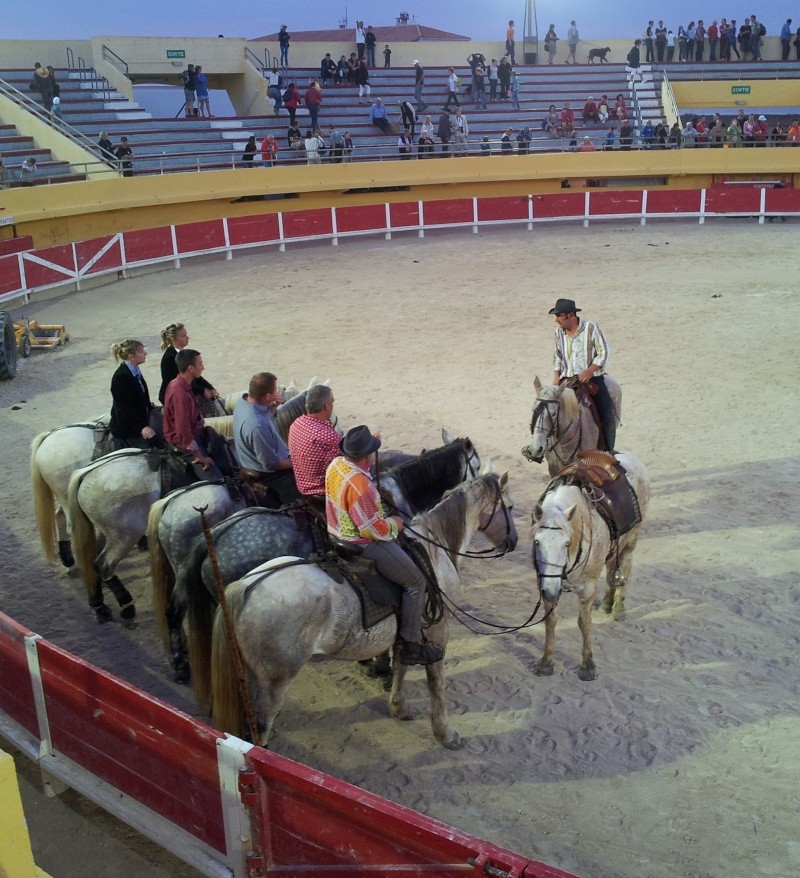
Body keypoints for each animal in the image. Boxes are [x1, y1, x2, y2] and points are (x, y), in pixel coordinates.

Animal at [209, 470, 516, 752]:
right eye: (510, 507)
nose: (513, 541)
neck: (433, 551)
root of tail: (247, 585)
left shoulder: (408, 631)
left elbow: (401, 666)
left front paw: (399, 708)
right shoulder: (437, 631)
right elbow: (436, 683)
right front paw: (445, 734)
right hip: (273, 683)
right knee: (260, 729)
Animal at [532, 458, 648, 684]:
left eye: (567, 543)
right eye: (537, 541)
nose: (551, 591)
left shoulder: (586, 587)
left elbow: (584, 623)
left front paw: (587, 665)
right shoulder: (546, 583)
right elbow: (550, 620)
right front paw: (546, 662)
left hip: (631, 541)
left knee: (623, 571)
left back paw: (618, 608)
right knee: (611, 572)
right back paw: (606, 603)